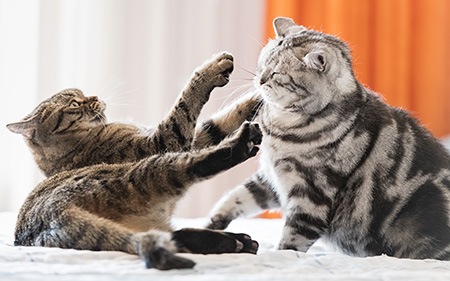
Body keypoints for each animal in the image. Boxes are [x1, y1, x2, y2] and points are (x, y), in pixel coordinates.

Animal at [6, 52, 260, 270]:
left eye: (83, 93)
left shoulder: (194, 138)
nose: (95, 97)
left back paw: (237, 241)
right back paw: (242, 145)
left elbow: (220, 122)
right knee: (196, 166)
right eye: (75, 104)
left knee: (165, 237)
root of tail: (53, 214)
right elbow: (186, 104)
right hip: (146, 170)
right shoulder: (161, 143)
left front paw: (258, 96)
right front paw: (214, 68)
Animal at [208, 17, 450, 258]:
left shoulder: (311, 196)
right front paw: (213, 224)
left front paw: (276, 254)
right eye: (263, 64)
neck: (282, 126)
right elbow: (237, 196)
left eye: (276, 74)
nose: (259, 80)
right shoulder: (271, 178)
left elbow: (292, 240)